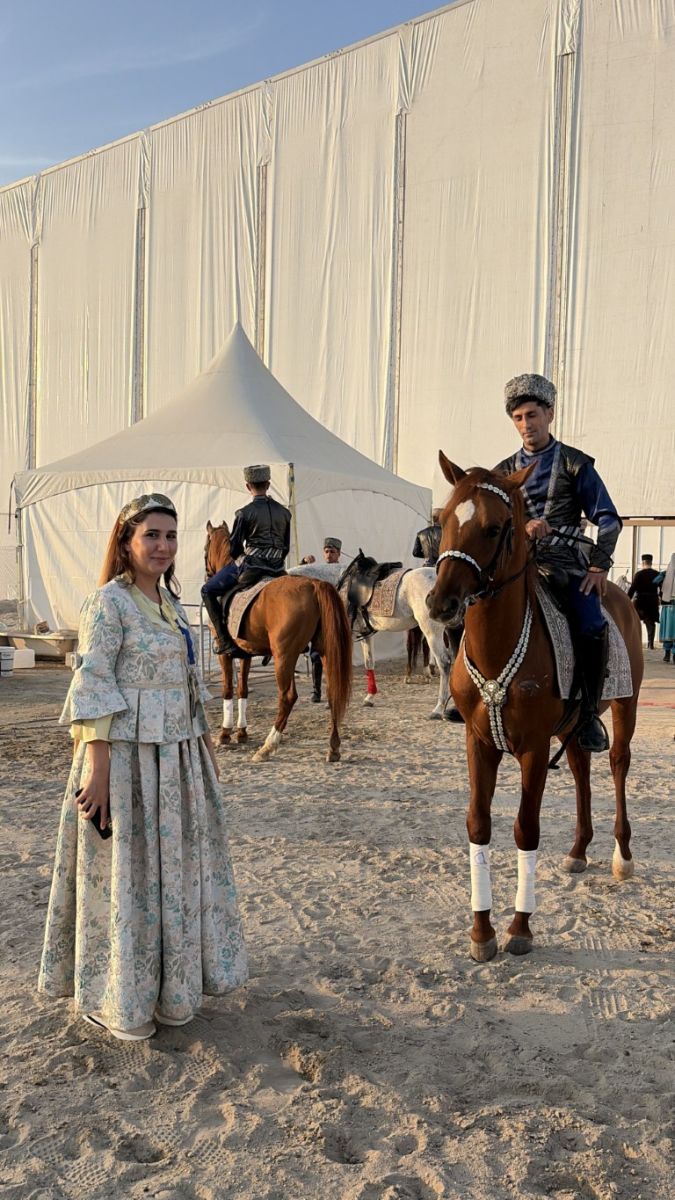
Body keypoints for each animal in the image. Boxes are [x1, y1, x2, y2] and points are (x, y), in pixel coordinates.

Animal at [203, 521, 352, 762]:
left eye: (205, 547)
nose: (207, 573)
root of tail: (314, 585)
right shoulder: (245, 653)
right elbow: (242, 689)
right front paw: (241, 733)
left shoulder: (224, 654)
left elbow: (227, 689)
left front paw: (225, 734)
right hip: (324, 652)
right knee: (332, 695)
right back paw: (333, 748)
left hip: (284, 657)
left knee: (288, 697)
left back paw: (268, 745)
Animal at [290, 560, 454, 718]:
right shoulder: (365, 634)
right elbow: (369, 663)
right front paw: (369, 697)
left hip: (431, 631)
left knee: (444, 663)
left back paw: (438, 708)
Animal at [426, 452, 643, 962]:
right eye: (443, 521)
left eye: (495, 527)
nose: (440, 602)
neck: (499, 648)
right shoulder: (479, 742)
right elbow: (479, 825)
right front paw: (481, 931)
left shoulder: (533, 750)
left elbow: (526, 829)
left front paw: (520, 928)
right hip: (572, 725)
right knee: (582, 765)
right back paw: (579, 850)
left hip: (626, 707)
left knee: (618, 764)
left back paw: (621, 857)